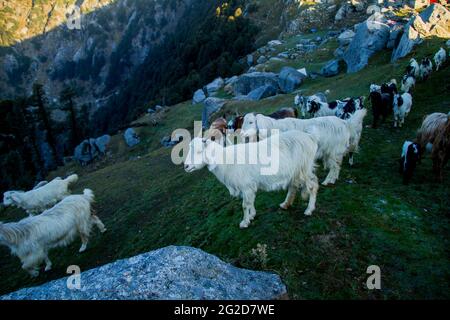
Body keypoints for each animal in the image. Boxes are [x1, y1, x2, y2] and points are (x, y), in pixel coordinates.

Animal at [184, 131, 320, 229]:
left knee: (312, 186)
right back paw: (285, 204)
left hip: (304, 168)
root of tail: (311, 137)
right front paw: (252, 215)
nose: (185, 166)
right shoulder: (249, 186)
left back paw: (309, 209)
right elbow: (251, 202)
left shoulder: (246, 185)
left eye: (199, 151)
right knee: (293, 186)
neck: (225, 161)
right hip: (295, 171)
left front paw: (245, 222)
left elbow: (245, 205)